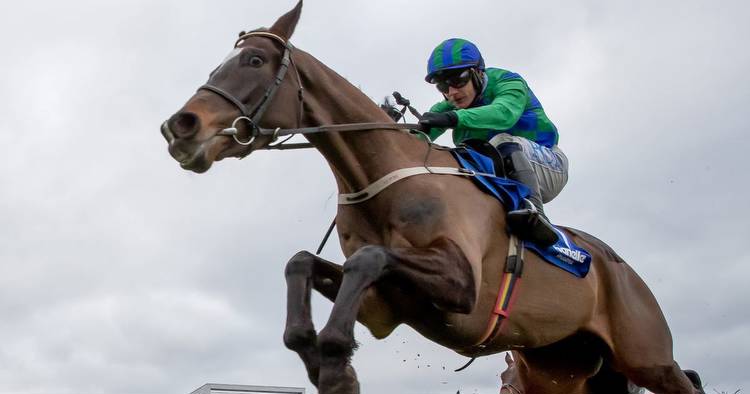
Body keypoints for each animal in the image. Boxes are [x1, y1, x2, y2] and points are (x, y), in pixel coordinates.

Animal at [159, 1, 704, 392]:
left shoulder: (461, 284)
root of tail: (623, 269)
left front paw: (335, 360)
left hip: (648, 358)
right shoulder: (387, 301)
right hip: (555, 370)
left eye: (254, 60)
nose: (179, 126)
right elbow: (301, 263)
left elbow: (371, 258)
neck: (379, 175)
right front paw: (325, 362)